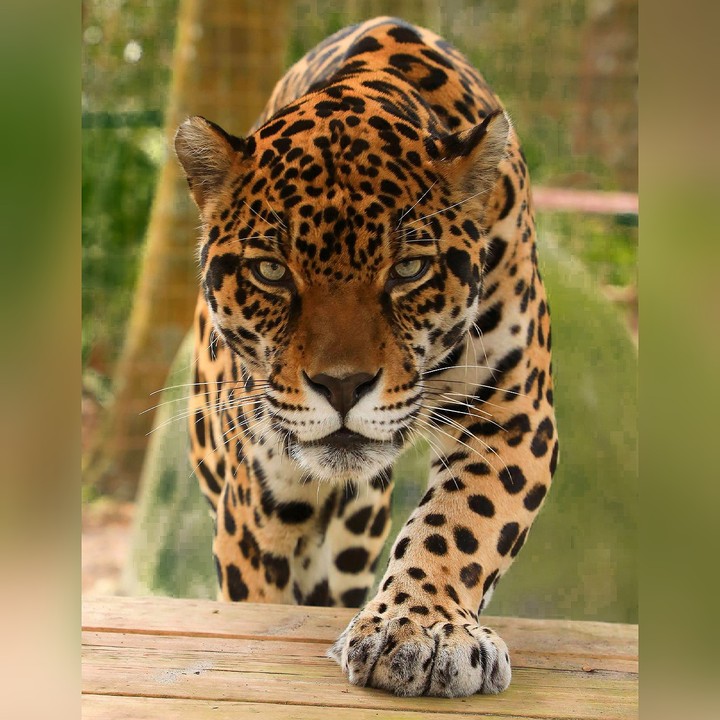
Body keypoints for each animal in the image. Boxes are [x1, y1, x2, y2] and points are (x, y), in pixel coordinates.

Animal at [174, 16, 557, 698]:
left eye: (408, 270)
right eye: (271, 271)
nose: (343, 386)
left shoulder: (515, 411)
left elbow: (461, 522)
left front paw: (421, 630)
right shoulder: (254, 506)